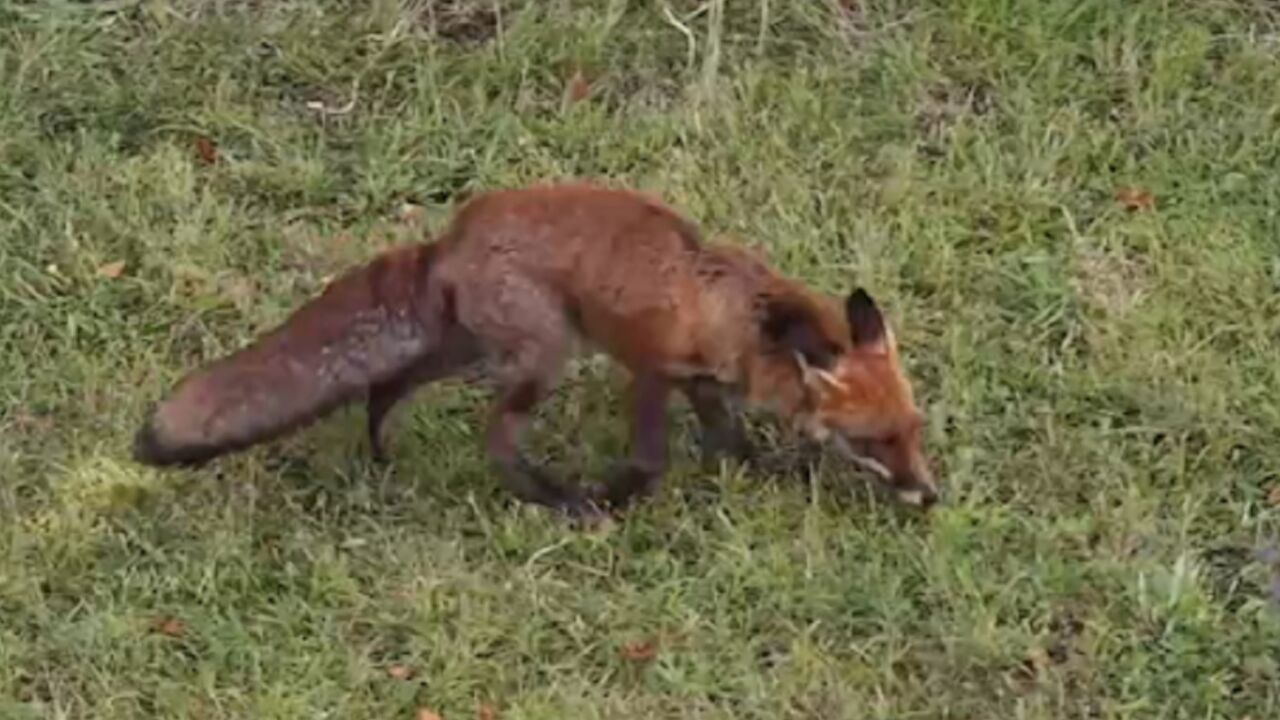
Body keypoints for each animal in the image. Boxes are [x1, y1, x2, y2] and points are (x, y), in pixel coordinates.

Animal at [132, 179, 942, 515]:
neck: (742, 318)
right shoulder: (653, 369)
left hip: (468, 346)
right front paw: (612, 500)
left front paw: (761, 467)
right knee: (495, 440)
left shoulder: (704, 381)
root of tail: (452, 235)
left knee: (386, 384)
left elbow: (730, 438)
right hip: (544, 356)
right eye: (877, 440)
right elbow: (651, 461)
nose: (930, 495)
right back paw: (554, 500)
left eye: (913, 430)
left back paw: (380, 446)